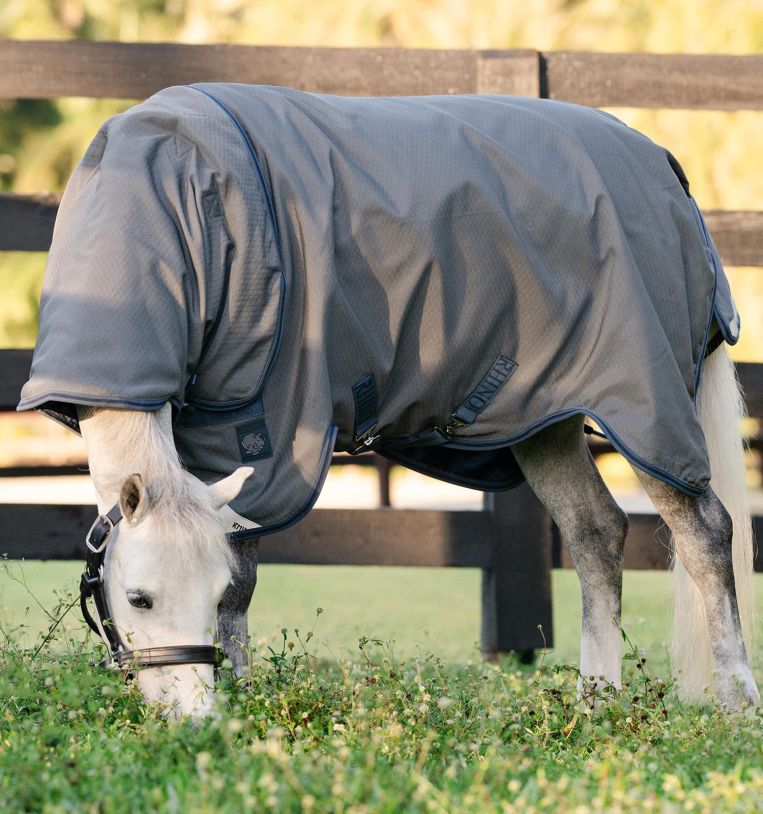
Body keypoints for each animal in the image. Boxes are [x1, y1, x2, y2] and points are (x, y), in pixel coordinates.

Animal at [20, 85, 759, 717]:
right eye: (138, 598)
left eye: (191, 594)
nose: (192, 718)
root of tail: (664, 168)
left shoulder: (261, 425)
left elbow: (244, 574)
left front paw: (246, 695)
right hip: (544, 415)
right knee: (594, 533)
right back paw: (595, 701)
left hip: (644, 401)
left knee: (704, 531)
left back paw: (733, 699)